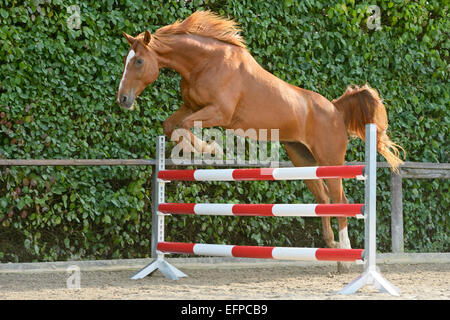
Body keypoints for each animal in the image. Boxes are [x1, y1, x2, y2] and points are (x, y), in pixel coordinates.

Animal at [117, 10, 404, 270]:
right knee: (323, 198)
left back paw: (345, 256)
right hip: (303, 158)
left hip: (329, 159)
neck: (204, 63)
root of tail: (335, 109)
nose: (123, 99)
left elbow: (186, 127)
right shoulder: (191, 106)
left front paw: (211, 148)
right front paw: (190, 149)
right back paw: (332, 249)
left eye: (138, 61)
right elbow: (170, 126)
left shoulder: (219, 112)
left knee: (340, 199)